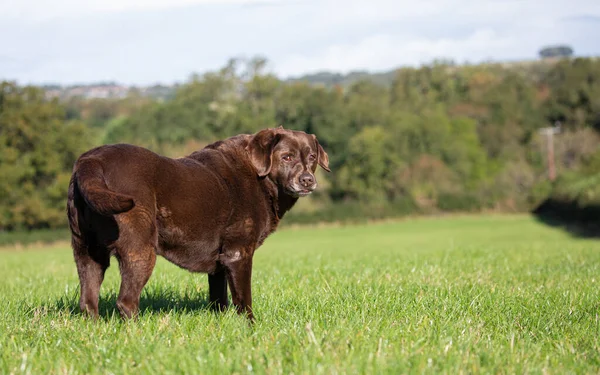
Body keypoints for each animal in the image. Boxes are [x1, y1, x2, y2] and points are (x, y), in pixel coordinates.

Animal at [67, 126, 330, 320]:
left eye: (312, 157)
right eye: (286, 157)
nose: (308, 180)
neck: (260, 176)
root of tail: (92, 161)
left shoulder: (220, 263)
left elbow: (219, 300)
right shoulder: (239, 254)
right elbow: (244, 301)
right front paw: (251, 329)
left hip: (87, 254)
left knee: (87, 302)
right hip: (140, 251)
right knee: (126, 302)